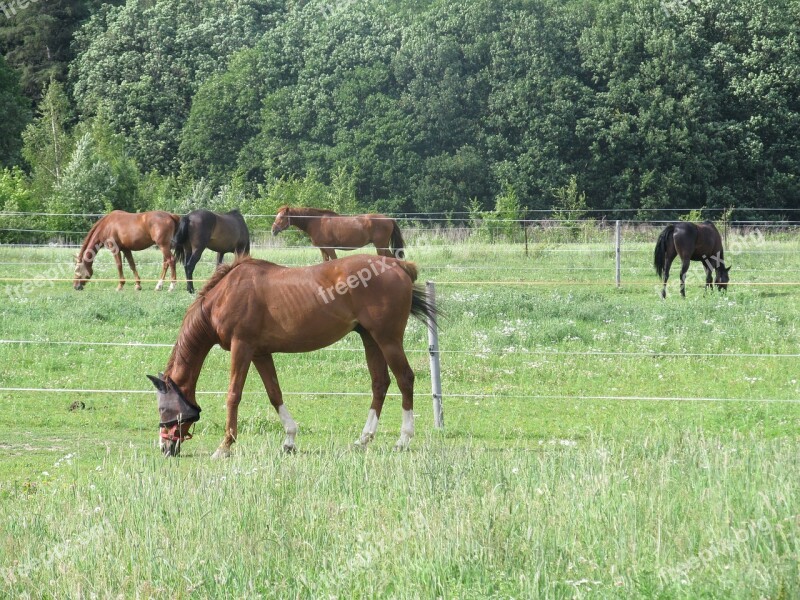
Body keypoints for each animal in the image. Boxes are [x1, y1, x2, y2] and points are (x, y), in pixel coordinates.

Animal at [150, 254, 438, 460]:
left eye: (163, 409)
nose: (164, 448)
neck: (225, 295)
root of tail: (398, 265)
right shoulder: (261, 353)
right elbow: (274, 393)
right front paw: (289, 440)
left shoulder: (242, 348)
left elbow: (233, 395)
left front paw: (225, 446)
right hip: (370, 339)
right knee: (380, 383)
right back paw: (363, 438)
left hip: (388, 339)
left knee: (405, 379)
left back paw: (403, 439)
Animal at [270, 206, 406, 260]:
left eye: (282, 217)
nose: (273, 230)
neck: (315, 221)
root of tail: (389, 219)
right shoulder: (323, 249)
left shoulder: (329, 248)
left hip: (380, 246)